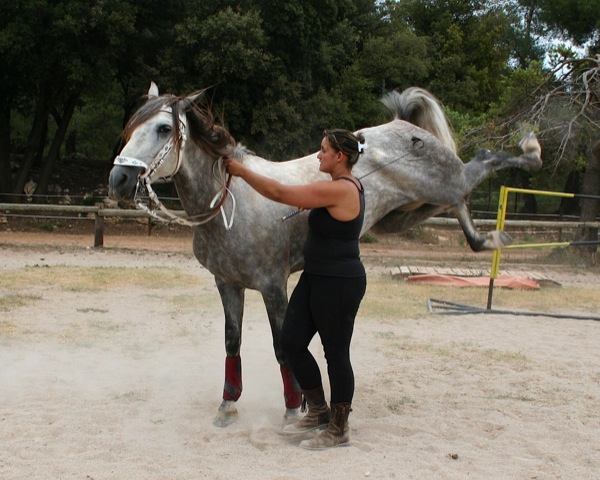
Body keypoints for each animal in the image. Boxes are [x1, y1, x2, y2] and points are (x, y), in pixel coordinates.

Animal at [109, 83, 544, 428]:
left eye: (164, 128)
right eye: (132, 127)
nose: (119, 179)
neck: (232, 201)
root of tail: (403, 126)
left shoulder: (272, 285)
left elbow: (282, 346)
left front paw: (293, 407)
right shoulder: (228, 284)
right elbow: (232, 343)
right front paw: (228, 405)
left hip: (443, 182)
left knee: (483, 163)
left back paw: (531, 151)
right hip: (412, 210)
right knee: (462, 201)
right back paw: (488, 238)